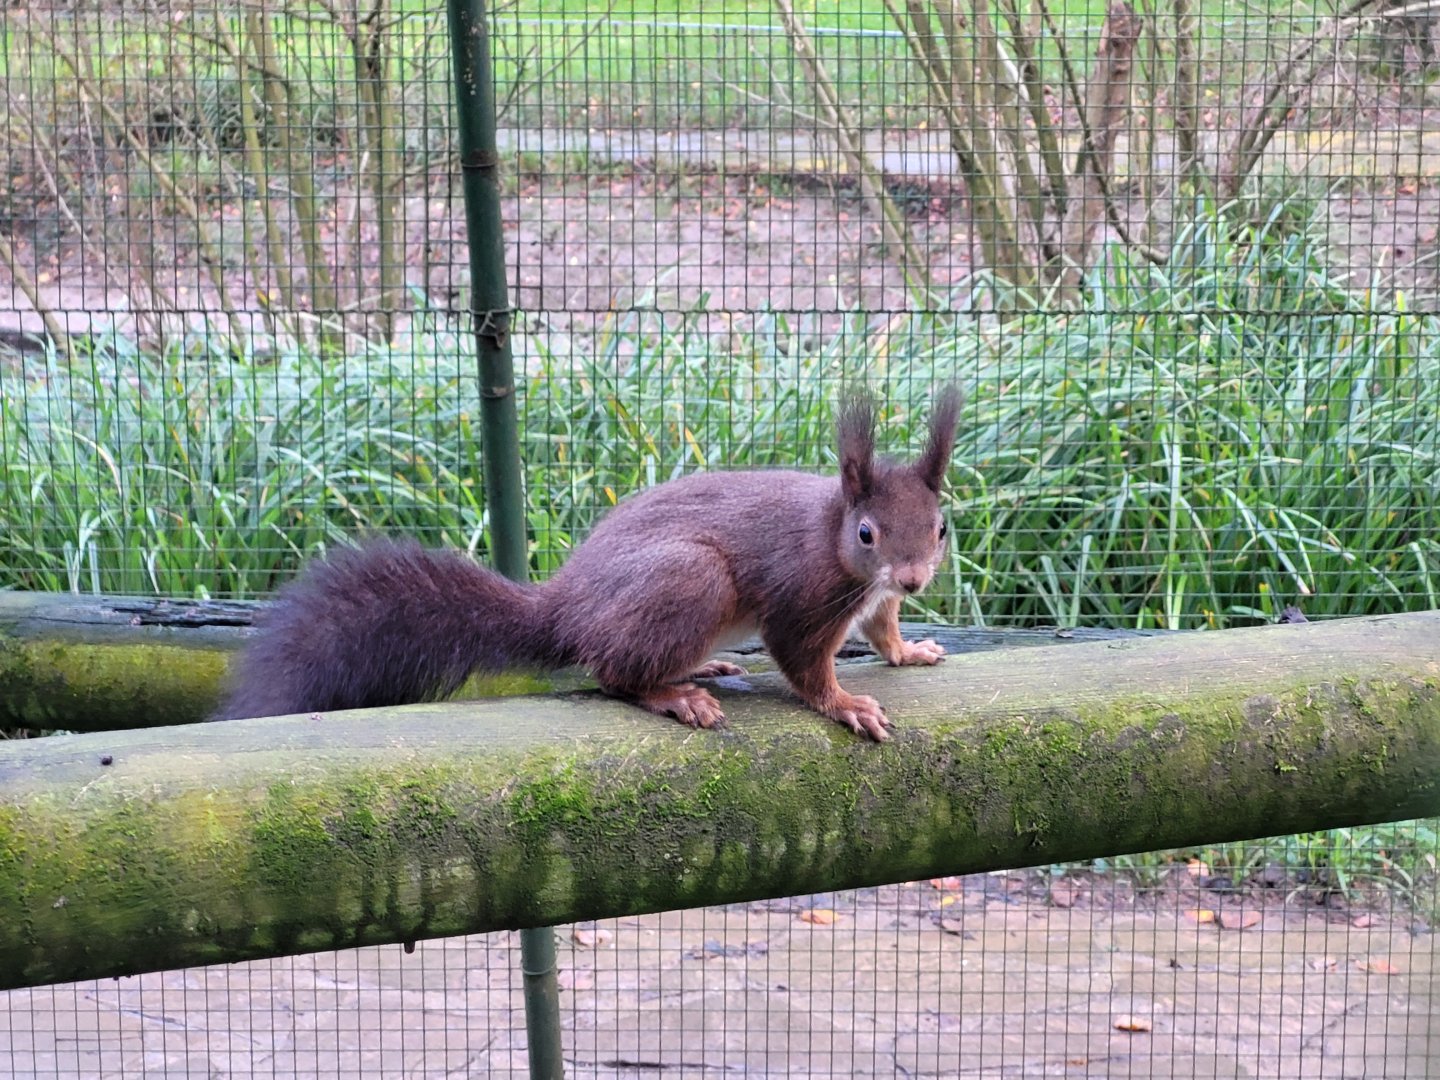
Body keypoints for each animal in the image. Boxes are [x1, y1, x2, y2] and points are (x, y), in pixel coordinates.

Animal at [212, 387, 962, 741]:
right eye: (865, 533)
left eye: (941, 527)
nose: (914, 578)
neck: (833, 539)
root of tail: (564, 608)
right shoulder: (804, 597)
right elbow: (804, 662)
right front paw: (845, 704)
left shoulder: (875, 600)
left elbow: (883, 631)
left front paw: (910, 652)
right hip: (691, 580)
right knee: (610, 673)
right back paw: (673, 694)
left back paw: (702, 669)